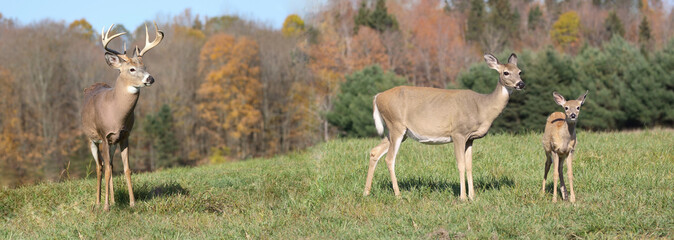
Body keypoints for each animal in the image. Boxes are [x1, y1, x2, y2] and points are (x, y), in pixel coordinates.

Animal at [80, 22, 163, 210]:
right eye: (131, 69)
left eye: (145, 67)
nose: (150, 79)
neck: (116, 113)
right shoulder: (104, 135)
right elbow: (106, 170)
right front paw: (105, 207)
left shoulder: (125, 135)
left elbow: (126, 169)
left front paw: (132, 203)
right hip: (92, 139)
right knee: (100, 167)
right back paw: (99, 202)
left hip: (113, 143)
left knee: (110, 164)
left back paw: (114, 200)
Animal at [364, 54, 524, 201]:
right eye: (506, 72)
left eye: (520, 71)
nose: (521, 84)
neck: (482, 107)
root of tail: (377, 97)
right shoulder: (458, 133)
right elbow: (461, 164)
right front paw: (463, 197)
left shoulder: (470, 139)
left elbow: (469, 165)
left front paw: (472, 196)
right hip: (396, 125)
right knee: (390, 158)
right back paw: (398, 195)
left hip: (399, 132)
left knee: (375, 152)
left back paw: (366, 192)